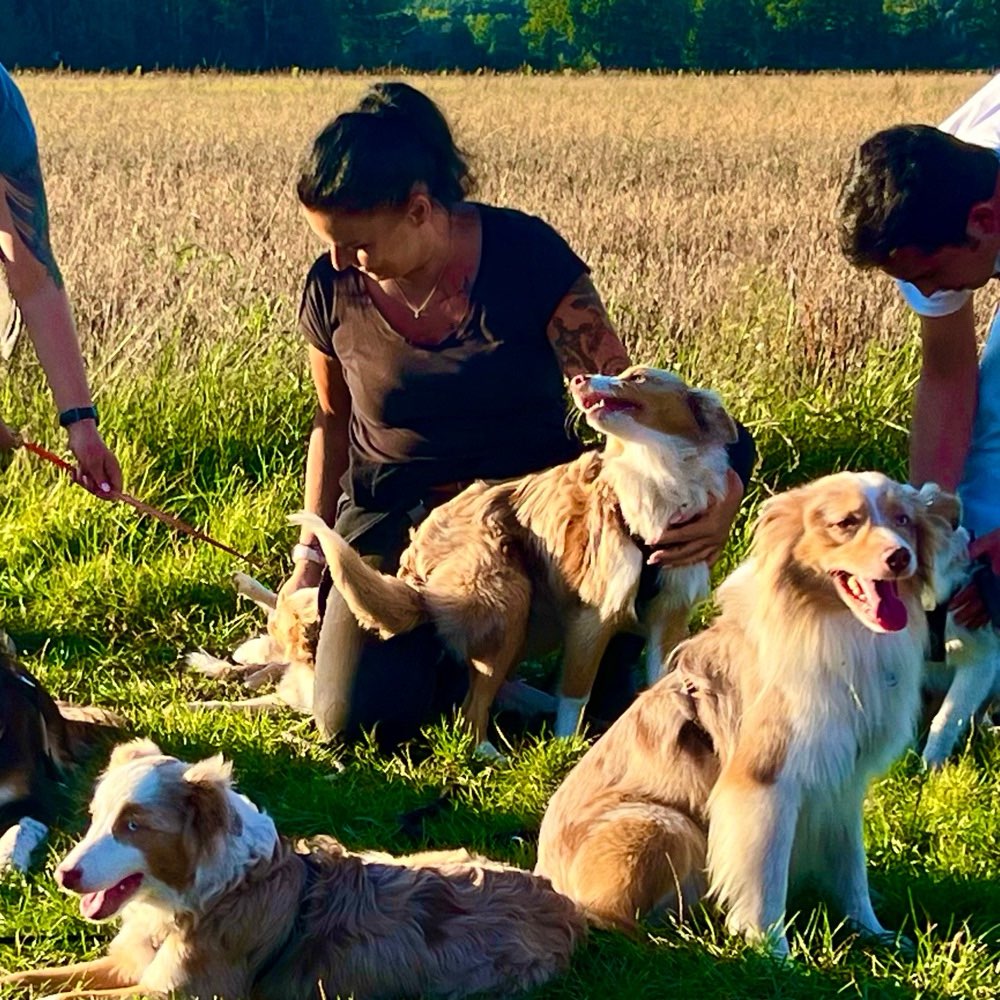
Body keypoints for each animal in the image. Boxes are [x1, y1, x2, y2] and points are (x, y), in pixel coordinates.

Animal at [1, 740, 584, 996]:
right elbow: (38, 979)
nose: (64, 875)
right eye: (96, 818)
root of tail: (561, 902)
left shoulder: (185, 993)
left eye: (133, 825)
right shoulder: (132, 965)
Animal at [290, 366, 736, 752]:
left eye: (638, 377)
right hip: (508, 594)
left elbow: (665, 679)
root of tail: (413, 559)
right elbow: (576, 692)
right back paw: (486, 749)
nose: (578, 377)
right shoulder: (594, 615)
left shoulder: (670, 613)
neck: (654, 474)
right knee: (472, 704)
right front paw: (565, 749)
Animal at [532, 472, 960, 956]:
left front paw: (875, 934)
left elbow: (852, 870)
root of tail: (544, 877)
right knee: (610, 920)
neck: (835, 628)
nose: (900, 556)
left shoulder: (843, 781)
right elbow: (764, 881)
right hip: (666, 824)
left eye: (903, 520)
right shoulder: (764, 781)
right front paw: (774, 953)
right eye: (845, 523)